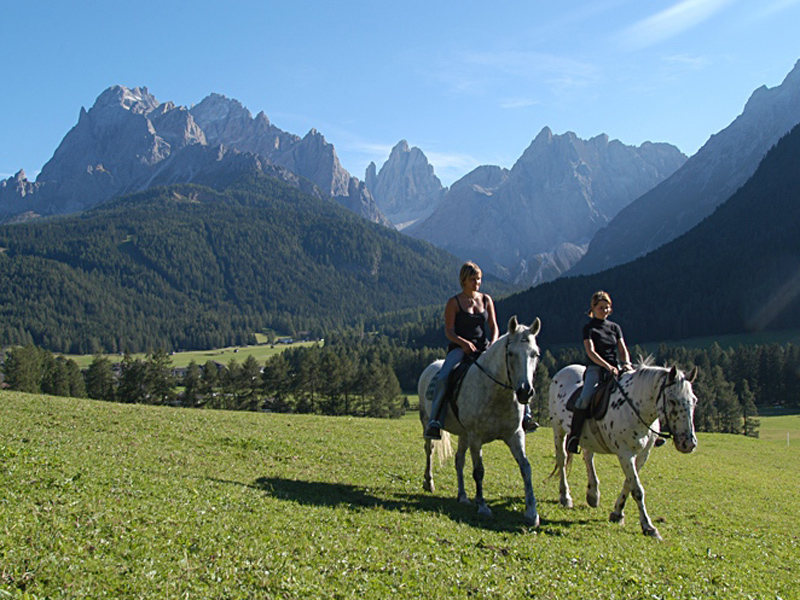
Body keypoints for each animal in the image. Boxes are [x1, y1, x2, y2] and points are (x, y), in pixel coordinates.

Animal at [418, 314, 544, 524]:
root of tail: (432, 366)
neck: (496, 392)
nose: (525, 391)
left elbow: (526, 468)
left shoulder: (515, 434)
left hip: (463, 434)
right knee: (430, 450)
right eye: (511, 354)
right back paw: (429, 482)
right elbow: (479, 471)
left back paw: (462, 496)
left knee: (459, 460)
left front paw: (532, 512)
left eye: (535, 354)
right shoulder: (476, 437)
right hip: (429, 422)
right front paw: (483, 506)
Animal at [548, 358, 696, 540]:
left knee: (588, 457)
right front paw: (648, 526)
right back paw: (565, 496)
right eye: (673, 401)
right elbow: (637, 489)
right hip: (558, 429)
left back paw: (593, 494)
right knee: (562, 459)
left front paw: (617, 513)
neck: (635, 406)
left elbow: (629, 483)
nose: (688, 443)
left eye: (694, 400)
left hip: (587, 437)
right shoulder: (625, 454)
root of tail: (563, 371)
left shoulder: (643, 454)